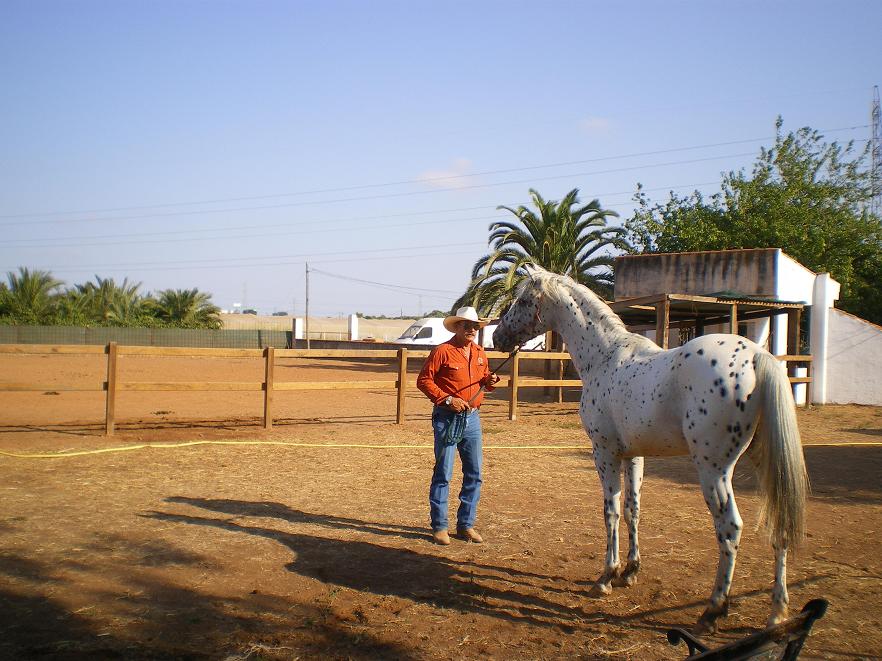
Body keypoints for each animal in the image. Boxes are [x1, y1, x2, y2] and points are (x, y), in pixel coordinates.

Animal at [492, 265, 809, 633]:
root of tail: (757, 356)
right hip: (764, 463)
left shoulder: (605, 453)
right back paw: (777, 613)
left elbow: (611, 511)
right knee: (779, 525)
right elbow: (634, 509)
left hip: (713, 470)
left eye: (523, 300)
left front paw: (606, 576)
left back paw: (713, 609)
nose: (498, 337)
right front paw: (630, 571)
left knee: (730, 528)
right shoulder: (634, 455)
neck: (604, 356)